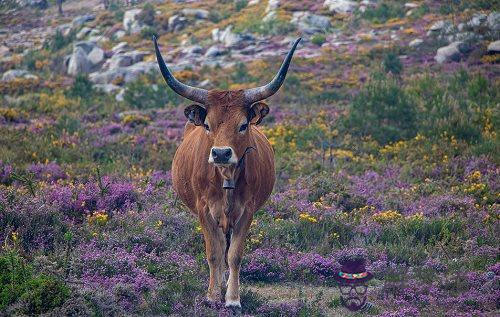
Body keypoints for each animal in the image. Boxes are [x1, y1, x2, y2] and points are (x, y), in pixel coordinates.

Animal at [154, 35, 298, 308]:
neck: (226, 179)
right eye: (208, 125)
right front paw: (212, 296)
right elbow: (214, 253)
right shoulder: (203, 209)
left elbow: (234, 255)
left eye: (242, 125)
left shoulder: (247, 210)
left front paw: (232, 299)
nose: (221, 153)